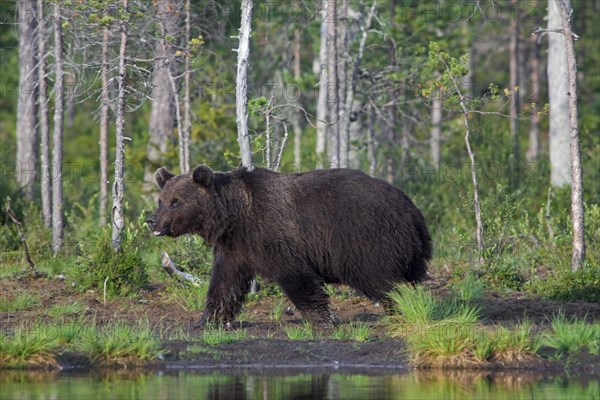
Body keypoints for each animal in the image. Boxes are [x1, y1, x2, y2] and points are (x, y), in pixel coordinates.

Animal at [149, 164, 432, 326]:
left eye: (176, 201)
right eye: (161, 200)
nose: (152, 220)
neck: (235, 217)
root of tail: (413, 210)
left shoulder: (273, 234)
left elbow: (296, 275)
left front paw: (321, 319)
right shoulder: (234, 248)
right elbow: (224, 284)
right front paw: (208, 320)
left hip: (364, 238)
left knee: (380, 278)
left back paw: (400, 306)